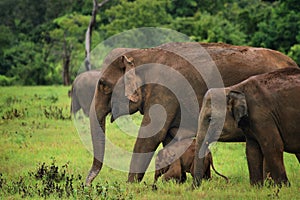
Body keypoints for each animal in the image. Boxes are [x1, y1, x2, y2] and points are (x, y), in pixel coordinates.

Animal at [85, 41, 298, 185]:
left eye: (103, 84)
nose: (87, 184)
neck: (141, 53)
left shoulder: (165, 91)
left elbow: (151, 136)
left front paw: (130, 186)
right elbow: (169, 138)